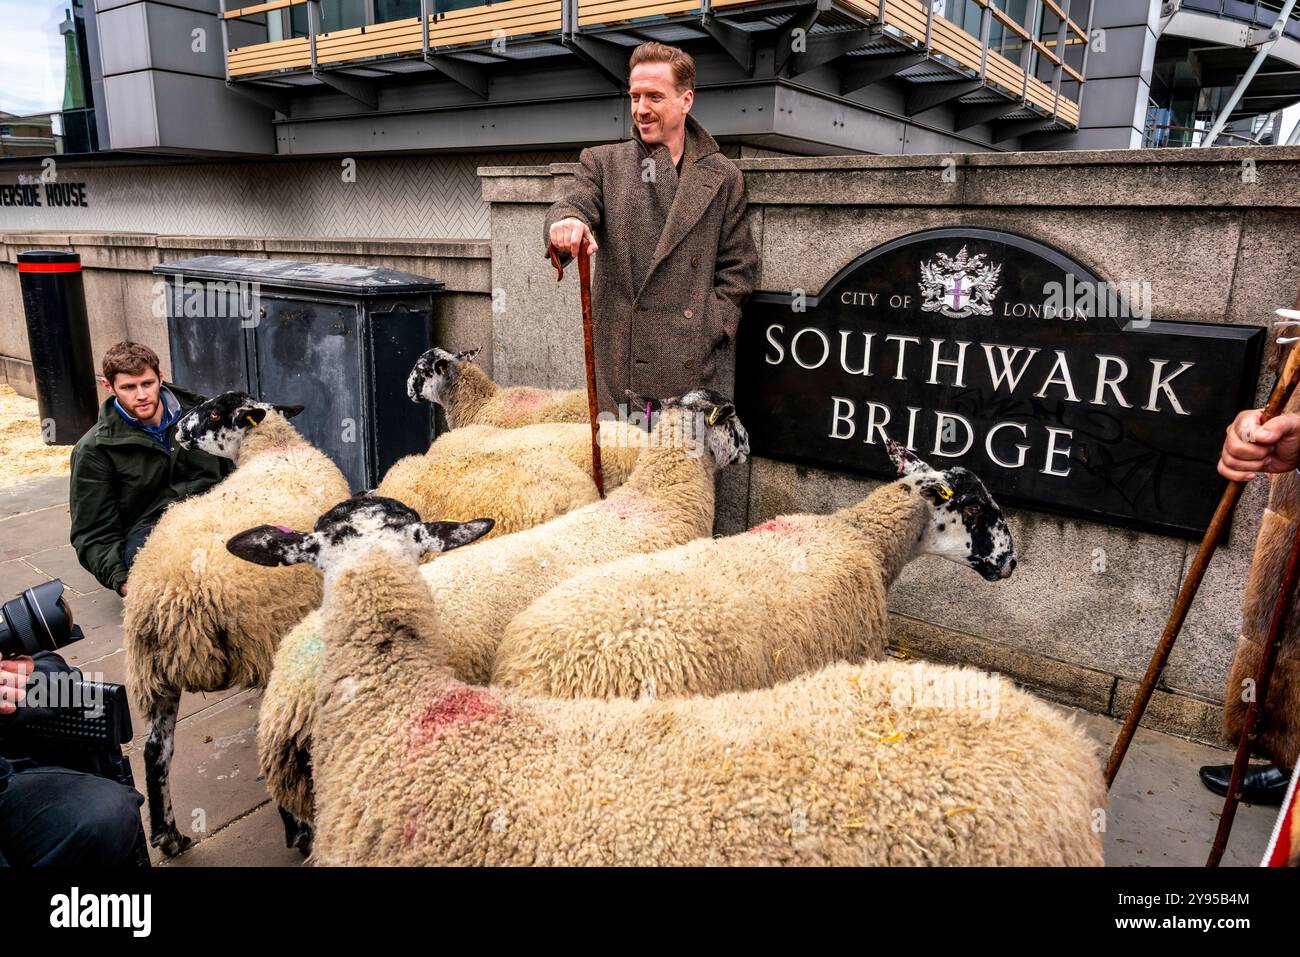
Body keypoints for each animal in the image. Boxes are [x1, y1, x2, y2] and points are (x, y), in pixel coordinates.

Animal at [124, 392, 351, 858]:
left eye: (214, 412)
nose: (176, 426)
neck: (272, 447)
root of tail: (175, 595)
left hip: (154, 673)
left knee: (155, 751)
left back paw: (169, 837)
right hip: (263, 641)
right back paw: (299, 832)